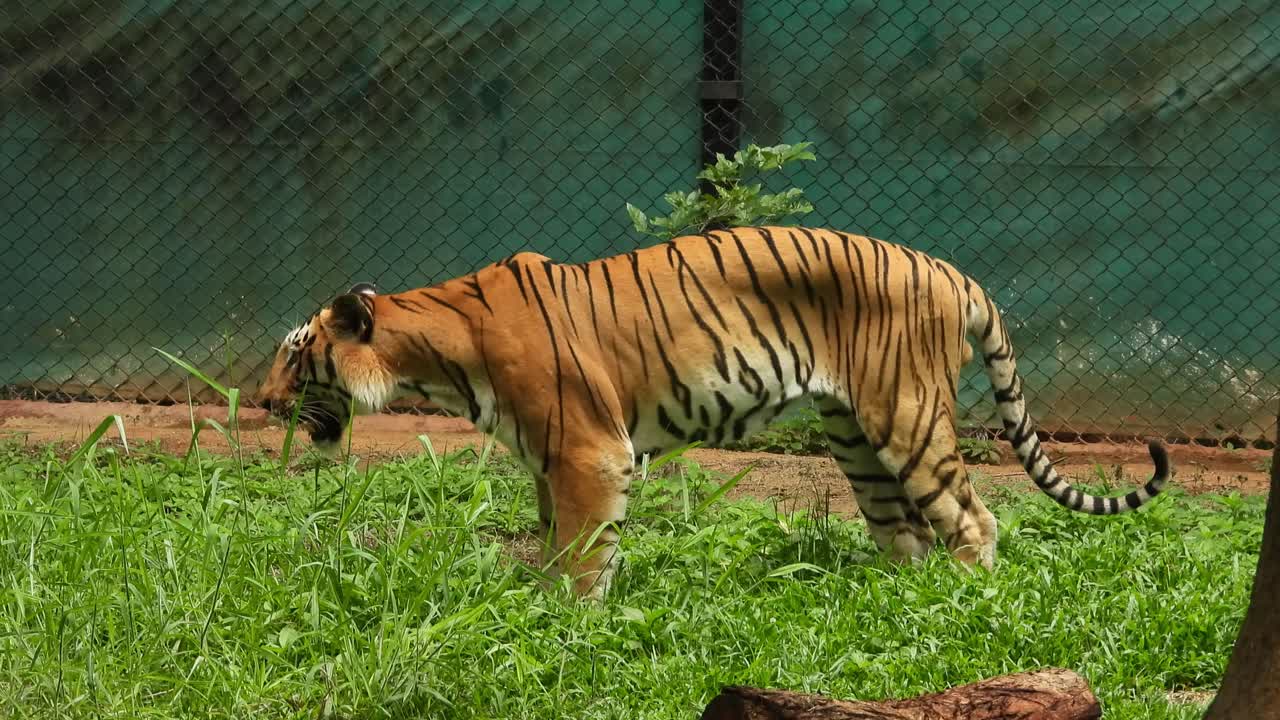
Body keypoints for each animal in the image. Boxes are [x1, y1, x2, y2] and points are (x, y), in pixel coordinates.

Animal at [255, 225, 1171, 599]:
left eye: (296, 355)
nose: (261, 402)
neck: (436, 348)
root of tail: (952, 269)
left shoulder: (589, 453)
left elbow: (583, 555)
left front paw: (568, 623)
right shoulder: (548, 460)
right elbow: (555, 545)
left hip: (905, 414)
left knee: (974, 520)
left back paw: (965, 604)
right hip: (856, 439)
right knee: (904, 532)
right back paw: (891, 604)